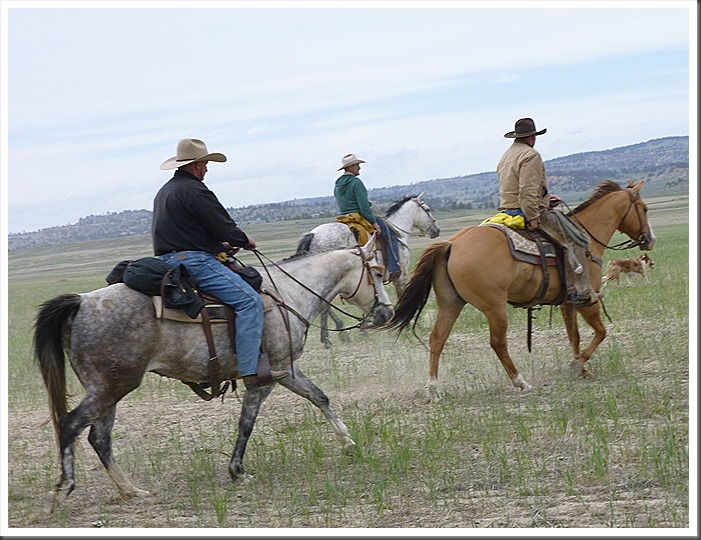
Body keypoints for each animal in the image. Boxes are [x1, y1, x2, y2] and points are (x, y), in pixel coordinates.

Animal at [34, 235, 394, 506]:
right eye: (376, 274)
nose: (386, 313)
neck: (288, 294)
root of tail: (81, 302)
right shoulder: (267, 377)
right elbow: (247, 422)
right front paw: (238, 471)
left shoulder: (287, 370)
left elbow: (320, 397)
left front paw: (348, 443)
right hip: (110, 389)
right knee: (70, 426)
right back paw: (64, 489)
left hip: (109, 390)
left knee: (100, 438)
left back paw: (131, 490)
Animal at [294, 194, 438, 346]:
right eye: (428, 209)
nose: (436, 230)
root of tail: (313, 234)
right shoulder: (401, 277)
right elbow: (401, 297)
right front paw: (405, 325)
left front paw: (365, 330)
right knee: (325, 306)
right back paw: (330, 337)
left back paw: (337, 333)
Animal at [386, 181, 652, 400]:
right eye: (645, 208)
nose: (650, 239)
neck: (586, 239)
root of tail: (451, 243)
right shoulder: (587, 299)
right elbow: (600, 332)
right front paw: (578, 364)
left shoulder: (568, 302)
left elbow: (574, 335)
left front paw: (581, 368)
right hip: (494, 307)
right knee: (497, 342)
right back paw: (520, 381)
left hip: (451, 304)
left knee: (437, 339)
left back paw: (433, 388)